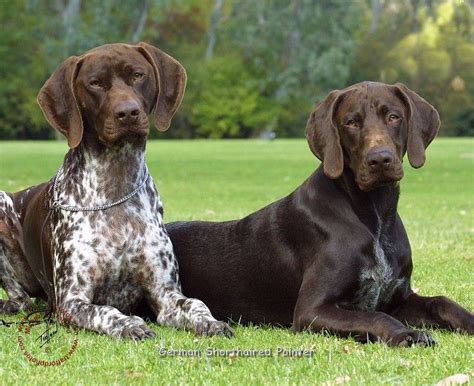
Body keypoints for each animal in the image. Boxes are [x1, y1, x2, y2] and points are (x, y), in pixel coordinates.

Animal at [0, 40, 231, 340]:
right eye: (95, 83)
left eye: (138, 75)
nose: (128, 113)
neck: (115, 186)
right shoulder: (71, 301)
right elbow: (106, 311)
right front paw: (130, 324)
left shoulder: (165, 294)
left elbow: (195, 303)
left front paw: (210, 321)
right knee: (20, 300)